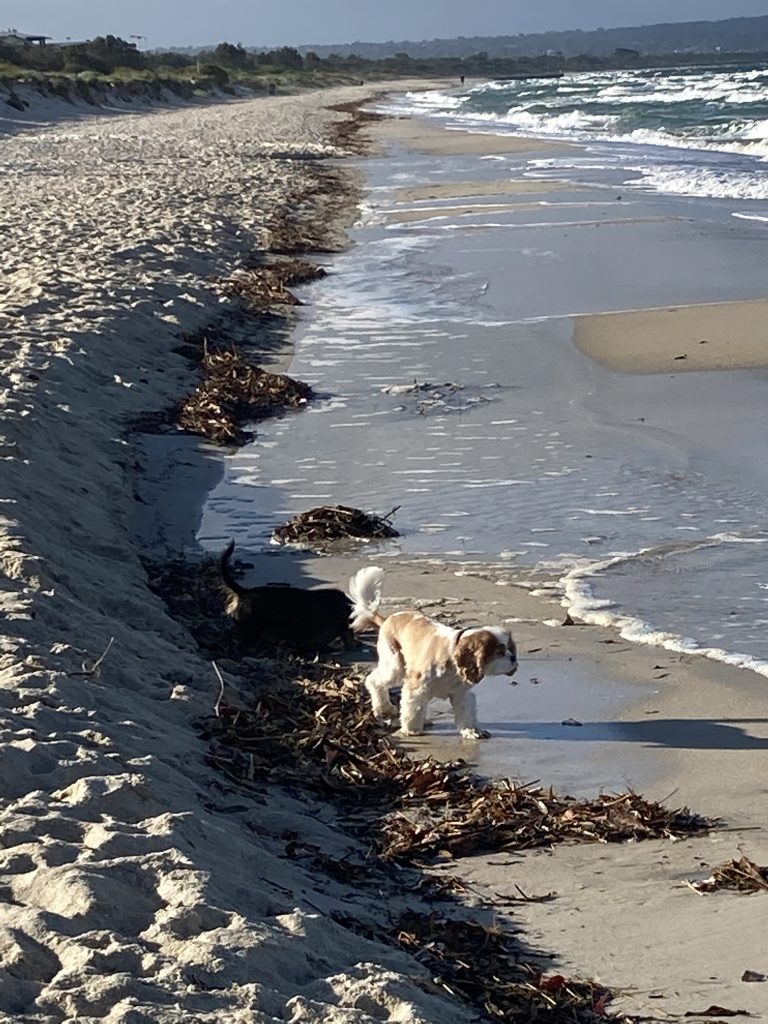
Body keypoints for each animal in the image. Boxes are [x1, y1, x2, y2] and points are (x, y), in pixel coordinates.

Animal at [348, 565, 518, 741]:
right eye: (499, 652)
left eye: (510, 648)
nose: (513, 658)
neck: (452, 662)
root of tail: (388, 618)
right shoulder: (417, 687)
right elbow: (413, 709)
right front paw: (411, 730)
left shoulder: (462, 694)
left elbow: (467, 714)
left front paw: (472, 731)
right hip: (394, 665)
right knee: (375, 682)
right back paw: (384, 708)